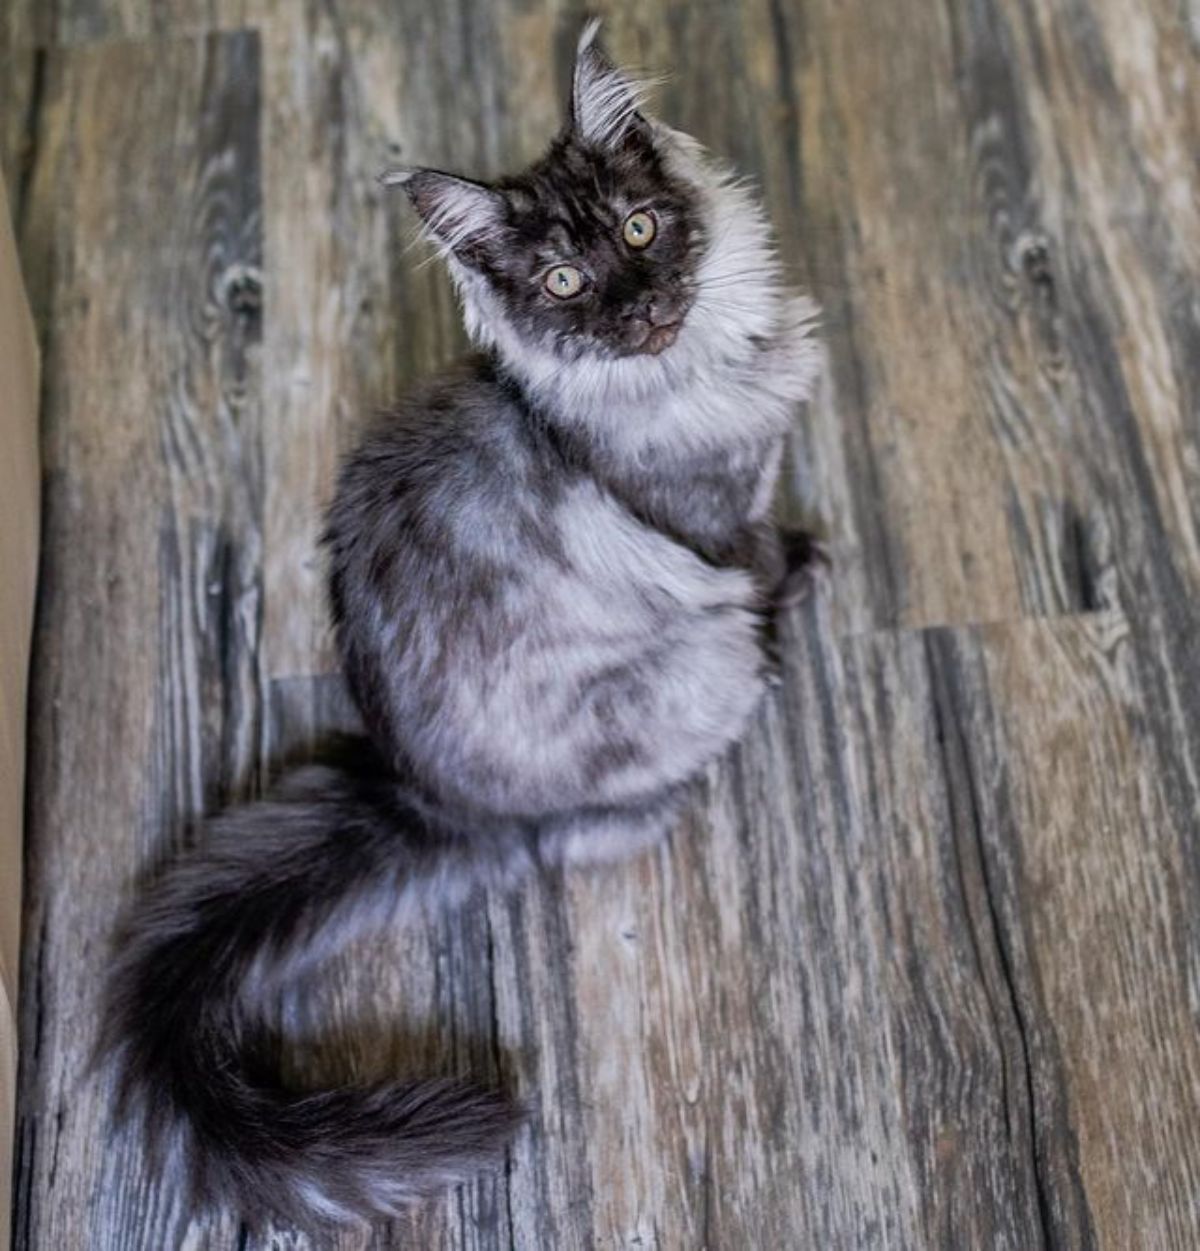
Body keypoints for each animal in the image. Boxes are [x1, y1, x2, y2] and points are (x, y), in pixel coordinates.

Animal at [98, 19, 825, 1230]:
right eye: (565, 280)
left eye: (640, 226)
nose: (640, 307)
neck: (685, 375)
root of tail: (424, 793)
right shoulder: (714, 523)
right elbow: (756, 560)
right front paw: (800, 578)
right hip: (682, 676)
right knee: (595, 824)